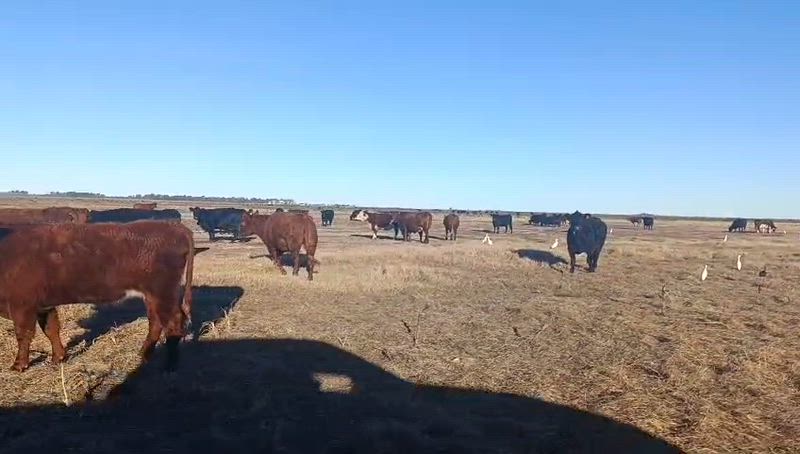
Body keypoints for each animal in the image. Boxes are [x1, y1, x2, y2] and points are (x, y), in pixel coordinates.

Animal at [0, 222, 194, 372]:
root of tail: (175, 227)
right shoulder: (43, 307)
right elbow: (51, 330)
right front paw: (58, 358)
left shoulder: (22, 306)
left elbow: (23, 335)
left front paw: (18, 365)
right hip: (152, 297)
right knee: (156, 323)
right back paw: (144, 355)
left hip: (163, 293)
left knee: (173, 323)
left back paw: (169, 365)